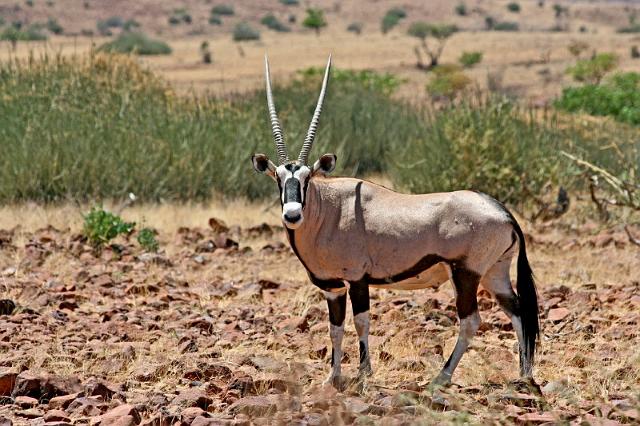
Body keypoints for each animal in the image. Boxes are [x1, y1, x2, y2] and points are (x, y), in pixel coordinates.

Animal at [251, 55, 540, 388]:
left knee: (471, 321)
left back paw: (441, 378)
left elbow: (361, 322)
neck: (328, 211)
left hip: (466, 273)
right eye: (279, 178)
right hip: (495, 272)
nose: (293, 214)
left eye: (307, 178)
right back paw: (524, 374)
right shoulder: (332, 287)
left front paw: (363, 373)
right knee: (517, 311)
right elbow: (335, 328)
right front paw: (332, 378)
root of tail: (503, 212)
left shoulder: (357, 279)